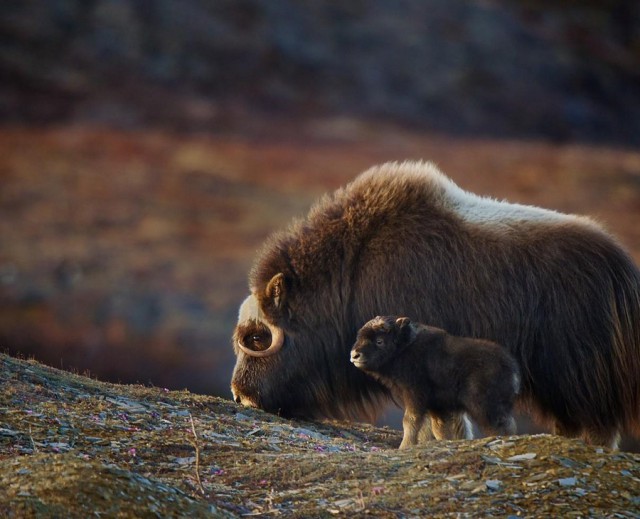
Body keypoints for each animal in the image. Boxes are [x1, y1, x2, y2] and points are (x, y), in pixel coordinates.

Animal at [350, 316, 520, 450]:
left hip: (485, 407)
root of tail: (512, 369)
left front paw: (404, 446)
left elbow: (410, 421)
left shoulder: (415, 395)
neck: (404, 349)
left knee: (500, 426)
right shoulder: (437, 406)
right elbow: (439, 428)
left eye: (379, 341)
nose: (354, 355)